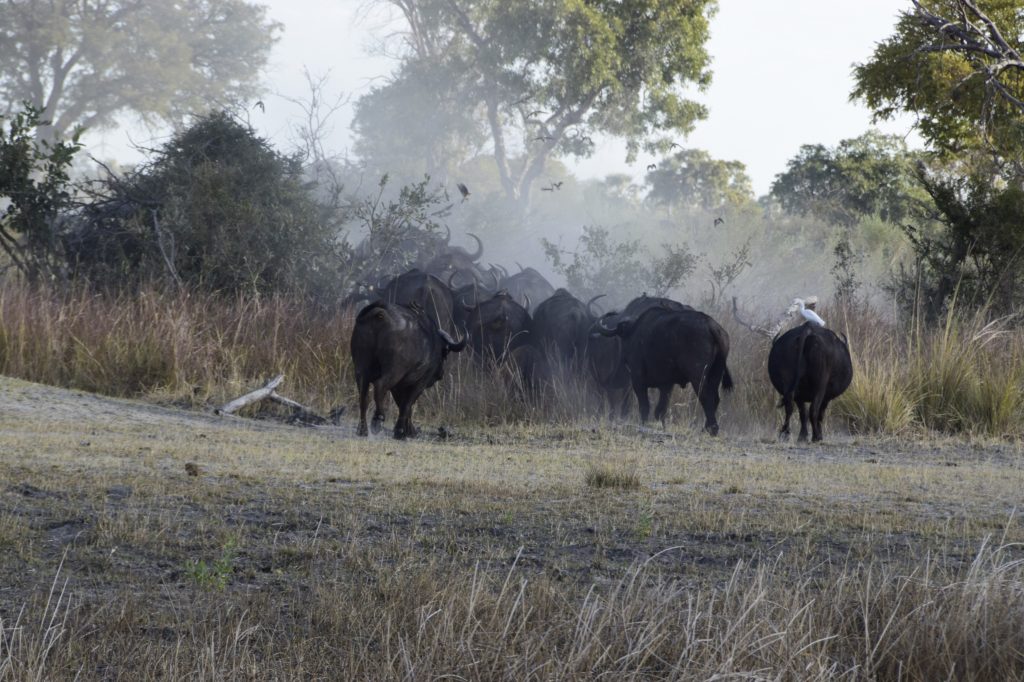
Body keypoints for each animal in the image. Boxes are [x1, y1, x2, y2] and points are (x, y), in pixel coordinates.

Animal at [350, 301, 466, 438]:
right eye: (445, 352)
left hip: (361, 369)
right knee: (379, 386)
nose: (440, 374)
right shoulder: (419, 383)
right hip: (394, 371)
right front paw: (401, 431)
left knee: (363, 397)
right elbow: (407, 404)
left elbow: (403, 405)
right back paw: (378, 419)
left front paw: (409, 430)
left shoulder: (398, 386)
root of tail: (380, 313)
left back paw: (362, 430)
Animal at [598, 307, 733, 432]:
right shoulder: (667, 385)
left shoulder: (638, 380)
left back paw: (712, 429)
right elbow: (660, 409)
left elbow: (645, 407)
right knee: (715, 398)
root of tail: (711, 326)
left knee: (706, 397)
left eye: (623, 331)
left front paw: (643, 425)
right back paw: (707, 428)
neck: (634, 332)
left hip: (698, 376)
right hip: (715, 374)